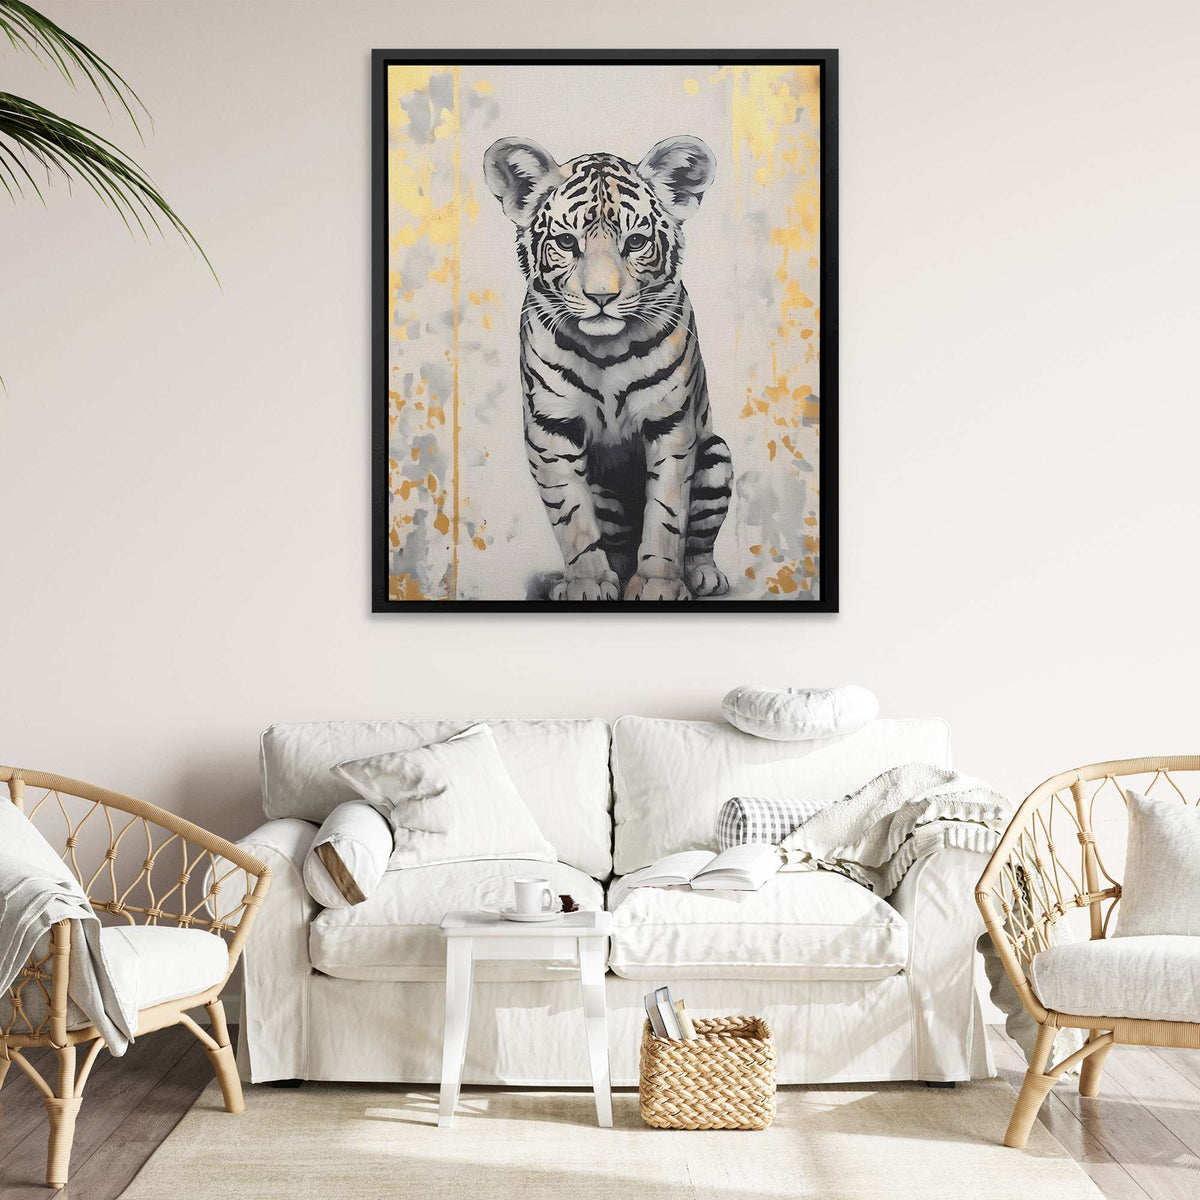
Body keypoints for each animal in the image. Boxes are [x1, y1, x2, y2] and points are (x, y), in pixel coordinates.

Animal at [483, 134, 734, 601]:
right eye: (567, 243)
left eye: (635, 243)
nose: (602, 297)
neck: (606, 350)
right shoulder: (551, 429)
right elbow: (571, 514)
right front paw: (586, 583)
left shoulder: (672, 425)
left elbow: (667, 513)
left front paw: (657, 585)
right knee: (615, 541)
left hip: (716, 455)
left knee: (699, 538)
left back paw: (703, 575)